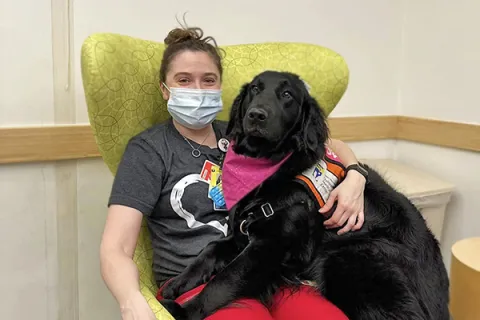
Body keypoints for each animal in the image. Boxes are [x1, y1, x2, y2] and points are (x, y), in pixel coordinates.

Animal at [161, 70, 450, 320]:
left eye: (287, 94)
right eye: (255, 89)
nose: (256, 115)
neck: (270, 168)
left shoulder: (266, 248)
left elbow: (223, 280)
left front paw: (182, 311)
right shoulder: (242, 233)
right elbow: (208, 251)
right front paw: (178, 283)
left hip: (351, 259)